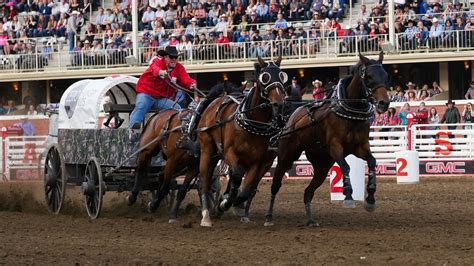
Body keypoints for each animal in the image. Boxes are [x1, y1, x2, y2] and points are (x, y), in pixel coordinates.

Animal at [197, 56, 288, 227]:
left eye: (281, 76)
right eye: (265, 77)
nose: (279, 103)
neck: (252, 122)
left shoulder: (257, 162)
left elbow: (246, 190)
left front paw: (231, 203)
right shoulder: (229, 153)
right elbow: (237, 176)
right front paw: (224, 203)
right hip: (207, 148)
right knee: (204, 180)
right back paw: (206, 215)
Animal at [264, 52, 390, 227]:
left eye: (385, 75)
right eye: (369, 76)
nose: (384, 103)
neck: (350, 113)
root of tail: (291, 119)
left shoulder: (360, 147)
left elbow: (372, 162)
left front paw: (370, 198)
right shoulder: (335, 147)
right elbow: (345, 167)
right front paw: (348, 195)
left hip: (322, 166)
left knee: (308, 192)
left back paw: (310, 219)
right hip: (286, 157)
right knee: (275, 185)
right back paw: (269, 216)